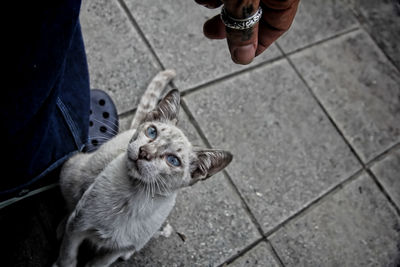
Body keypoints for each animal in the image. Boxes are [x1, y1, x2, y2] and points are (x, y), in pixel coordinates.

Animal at [54, 70, 233, 266]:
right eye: (152, 132)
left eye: (173, 160)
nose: (144, 152)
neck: (131, 198)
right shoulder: (78, 227)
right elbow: (68, 256)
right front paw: (62, 261)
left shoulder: (113, 251)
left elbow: (98, 264)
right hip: (73, 173)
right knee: (70, 205)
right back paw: (61, 226)